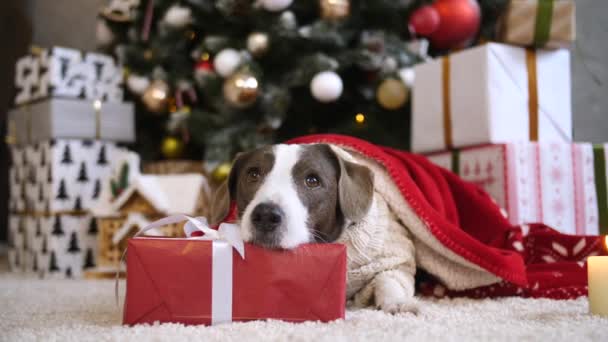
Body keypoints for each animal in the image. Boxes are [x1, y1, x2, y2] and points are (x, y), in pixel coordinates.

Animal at [213, 143, 418, 314]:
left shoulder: (395, 256)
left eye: (312, 180)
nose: (265, 215)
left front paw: (398, 302)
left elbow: (389, 278)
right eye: (253, 174)